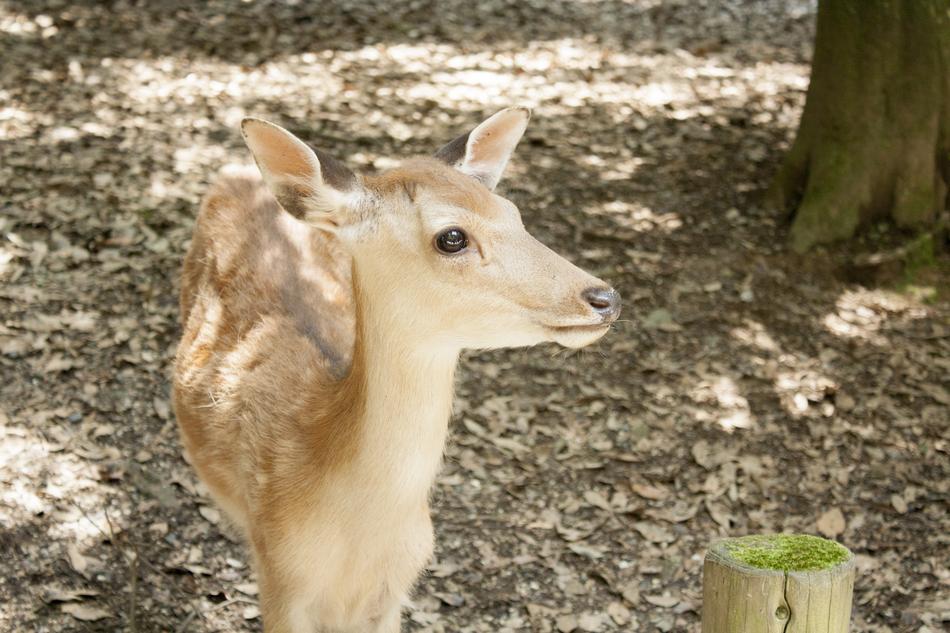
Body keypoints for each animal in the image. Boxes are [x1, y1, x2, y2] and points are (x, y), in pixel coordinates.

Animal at [173, 107, 621, 633]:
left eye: (513, 213)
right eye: (452, 237)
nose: (604, 298)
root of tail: (238, 170)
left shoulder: (391, 597)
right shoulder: (280, 582)